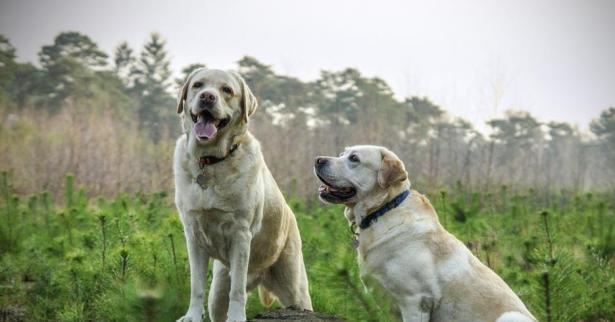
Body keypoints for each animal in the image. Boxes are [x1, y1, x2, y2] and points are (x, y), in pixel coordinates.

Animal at [174, 68, 312, 322]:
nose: (207, 97)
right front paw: (192, 316)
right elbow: (196, 286)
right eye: (198, 85)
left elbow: (237, 291)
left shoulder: (240, 234)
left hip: (295, 289)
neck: (211, 160)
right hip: (218, 291)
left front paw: (237, 317)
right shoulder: (193, 235)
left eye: (227, 90)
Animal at [316, 145, 536, 322]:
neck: (384, 209)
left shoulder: (415, 301)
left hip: (509, 317)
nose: (318, 159)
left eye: (354, 158)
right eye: (342, 154)